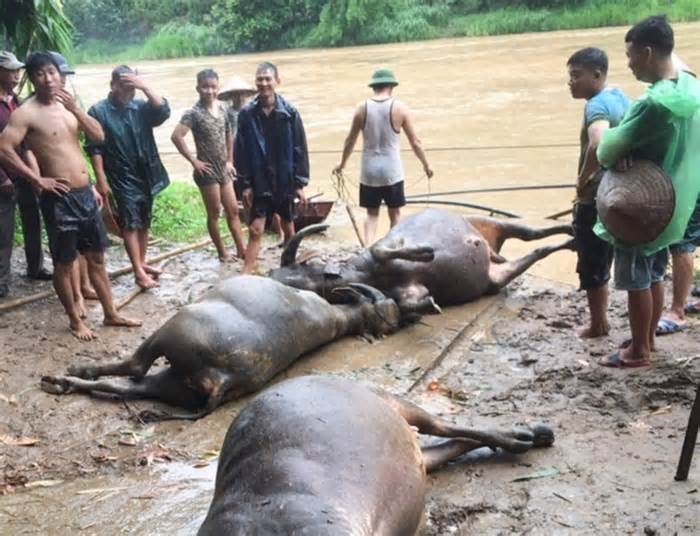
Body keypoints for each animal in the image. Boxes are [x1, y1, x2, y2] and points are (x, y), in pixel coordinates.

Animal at [39, 274, 400, 416]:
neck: (333, 317)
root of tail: (223, 379)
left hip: (169, 333)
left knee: (134, 367)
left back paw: (65, 375)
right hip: (171, 385)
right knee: (126, 385)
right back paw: (63, 383)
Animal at [197, 376, 552, 536]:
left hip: (396, 403)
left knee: (445, 425)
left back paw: (528, 435)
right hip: (417, 460)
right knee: (446, 446)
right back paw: (528, 437)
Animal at [270, 206, 572, 314]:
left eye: (300, 267)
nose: (272, 277)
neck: (367, 274)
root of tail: (489, 249)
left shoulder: (384, 245)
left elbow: (384, 249)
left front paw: (426, 252)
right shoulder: (406, 290)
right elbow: (410, 301)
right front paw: (431, 304)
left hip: (488, 221)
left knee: (532, 233)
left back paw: (570, 230)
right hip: (496, 276)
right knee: (538, 250)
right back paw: (570, 240)